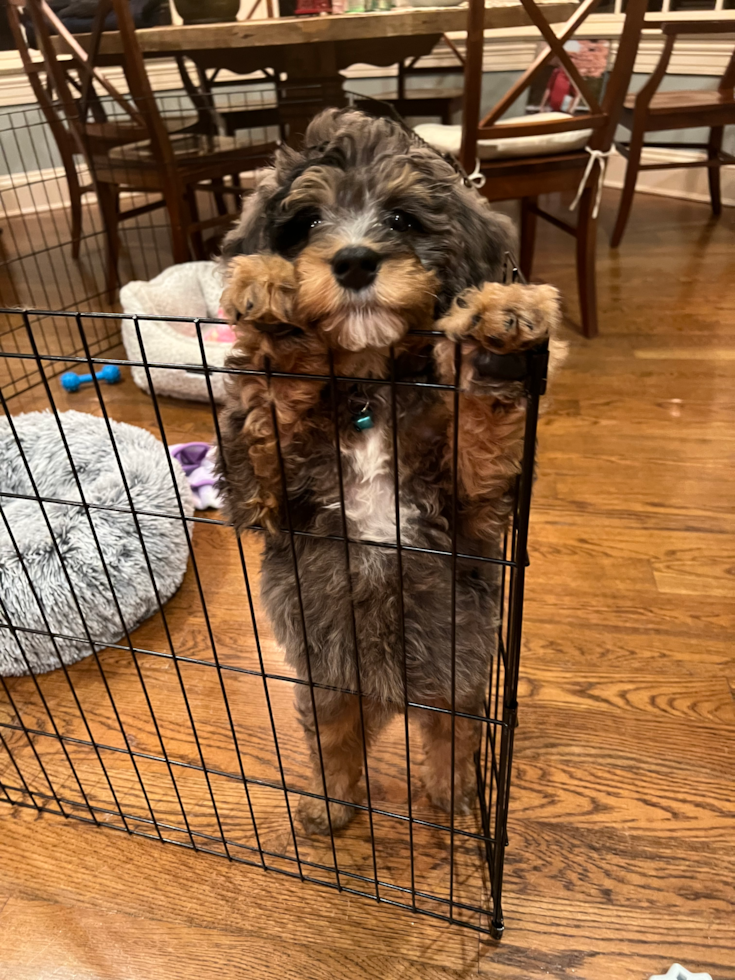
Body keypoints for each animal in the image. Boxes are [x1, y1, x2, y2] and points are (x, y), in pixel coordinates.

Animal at [218, 109, 564, 836]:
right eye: (305, 223)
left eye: (402, 219)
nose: (353, 261)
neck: (369, 387)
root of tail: (391, 693)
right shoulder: (260, 496)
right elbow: (267, 405)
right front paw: (270, 299)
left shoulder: (470, 505)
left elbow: (483, 420)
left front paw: (495, 331)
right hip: (327, 682)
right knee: (334, 742)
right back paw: (328, 805)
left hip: (457, 679)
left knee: (450, 740)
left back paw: (450, 796)